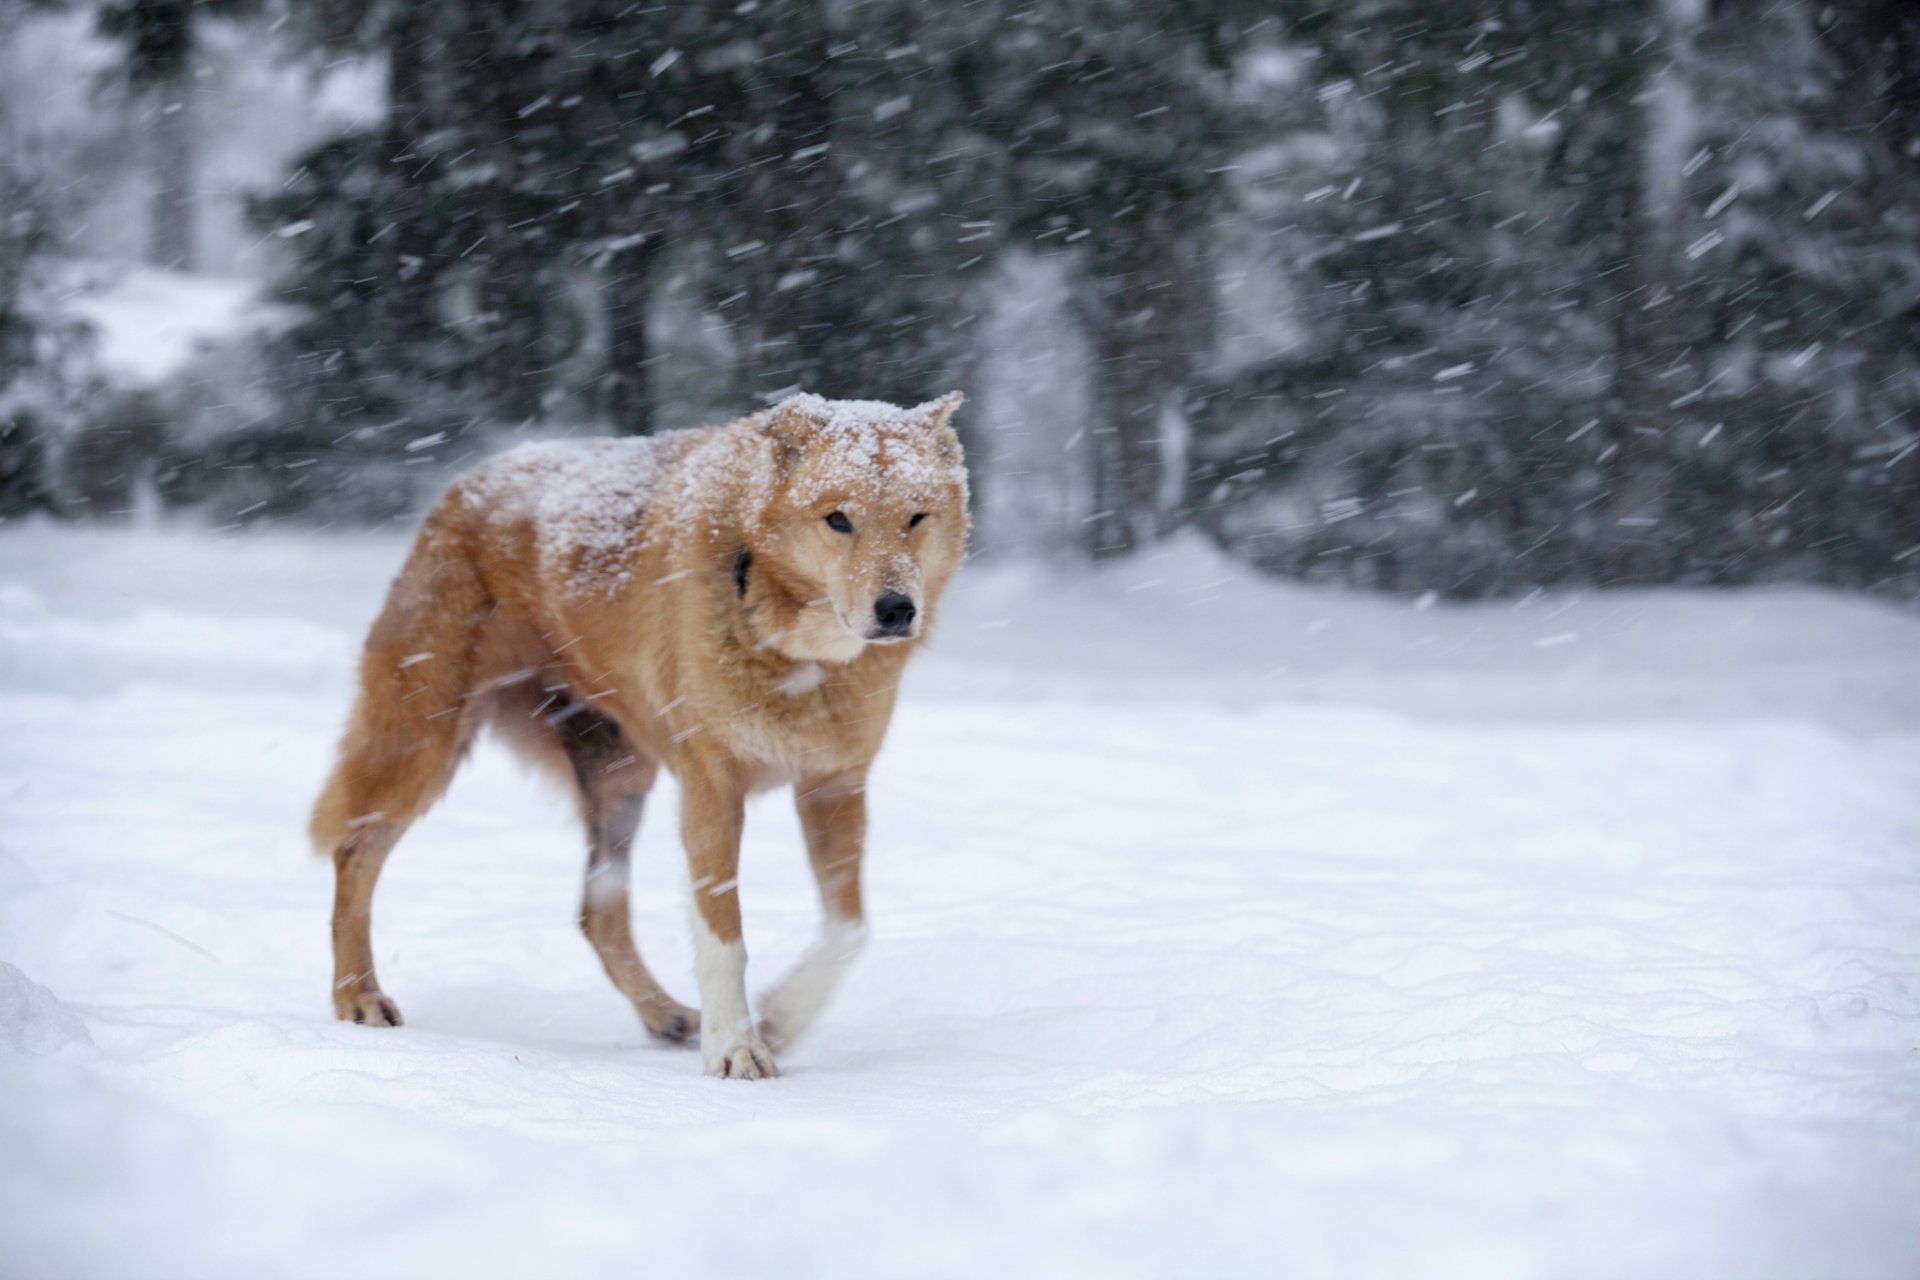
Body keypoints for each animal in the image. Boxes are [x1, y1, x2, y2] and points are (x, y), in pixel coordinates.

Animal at [318, 393, 975, 1082]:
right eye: (838, 520)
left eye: (916, 517)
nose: (896, 609)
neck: (796, 650)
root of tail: (466, 481)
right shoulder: (712, 786)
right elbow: (724, 936)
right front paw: (734, 1049)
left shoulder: (835, 784)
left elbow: (849, 929)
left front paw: (779, 1019)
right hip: (423, 747)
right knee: (353, 853)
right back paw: (358, 998)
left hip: (621, 782)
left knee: (598, 912)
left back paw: (665, 1016)